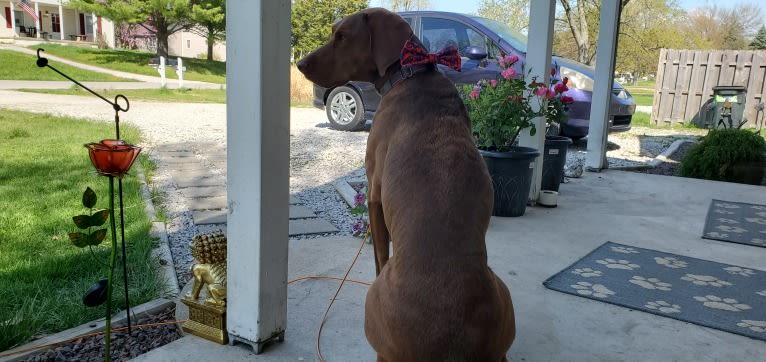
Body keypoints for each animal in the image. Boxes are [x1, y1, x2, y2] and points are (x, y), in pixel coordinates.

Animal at [298, 7, 516, 360]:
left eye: (342, 36)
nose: (301, 64)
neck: (410, 74)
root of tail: (451, 349)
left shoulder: (373, 195)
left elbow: (379, 255)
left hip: (376, 302)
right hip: (502, 295)